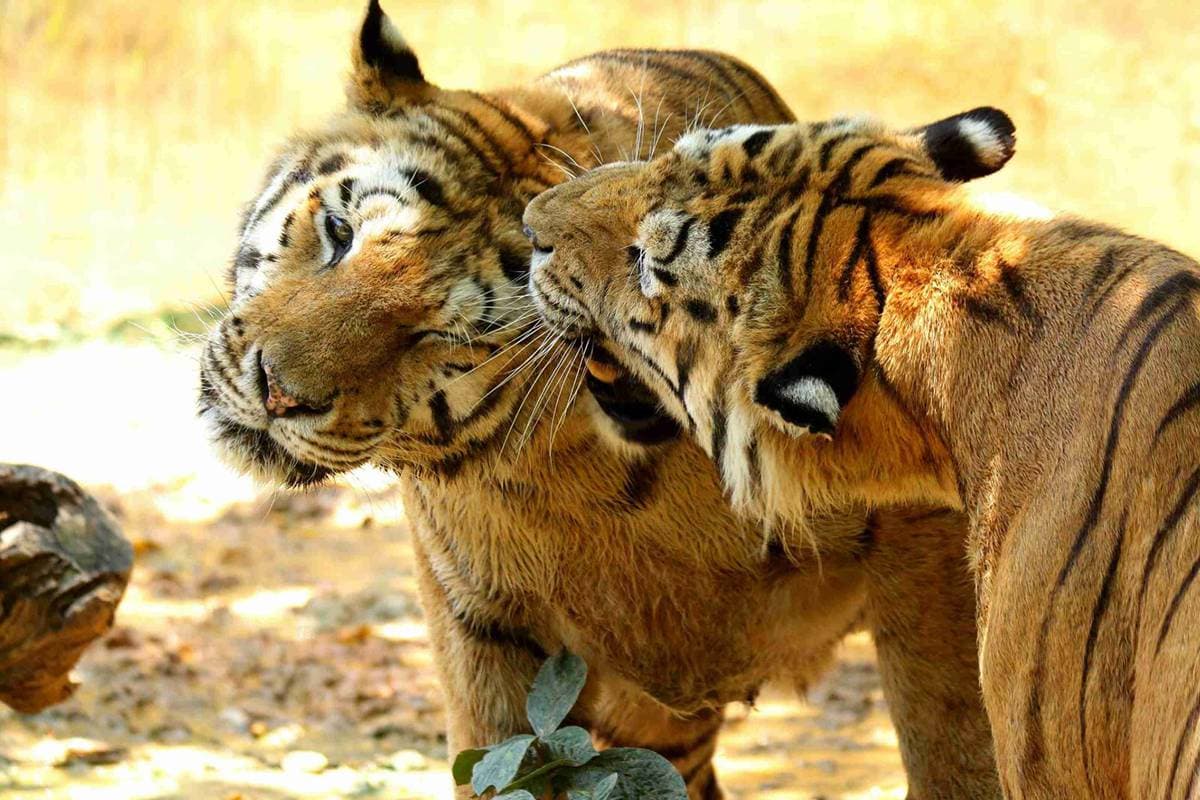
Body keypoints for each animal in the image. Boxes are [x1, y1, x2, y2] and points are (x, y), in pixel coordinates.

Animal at [196, 2, 1003, 797]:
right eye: (338, 232)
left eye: (437, 335)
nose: (276, 392)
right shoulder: (481, 626)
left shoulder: (930, 539)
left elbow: (955, 737)